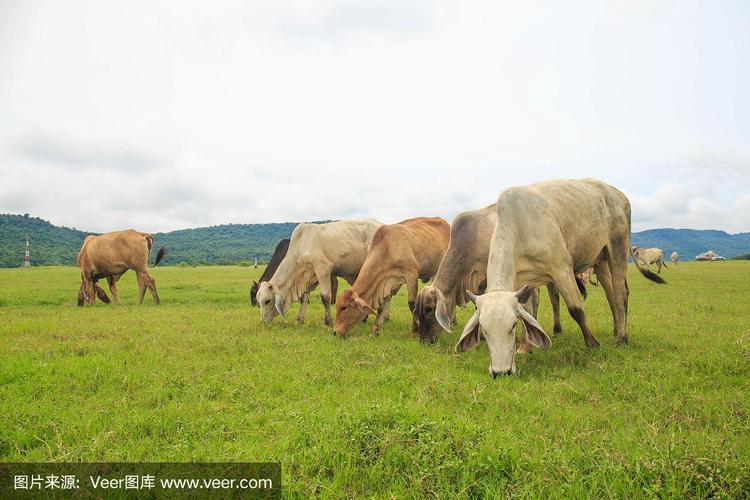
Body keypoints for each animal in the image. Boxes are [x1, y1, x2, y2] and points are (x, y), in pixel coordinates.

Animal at [258, 219, 388, 324]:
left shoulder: (323, 268)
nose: (263, 322)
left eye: (267, 301)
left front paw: (328, 321)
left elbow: (325, 297)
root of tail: (383, 225)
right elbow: (304, 298)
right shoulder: (309, 275)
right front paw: (300, 320)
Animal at [456, 178, 668, 376]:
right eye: (483, 330)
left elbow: (576, 309)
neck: (518, 226)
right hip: (600, 260)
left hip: (617, 247)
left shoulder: (562, 268)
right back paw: (617, 330)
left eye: (513, 325)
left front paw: (592, 343)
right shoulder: (523, 282)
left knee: (620, 293)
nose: (501, 371)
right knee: (611, 296)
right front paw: (525, 348)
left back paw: (621, 338)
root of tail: (619, 194)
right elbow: (529, 313)